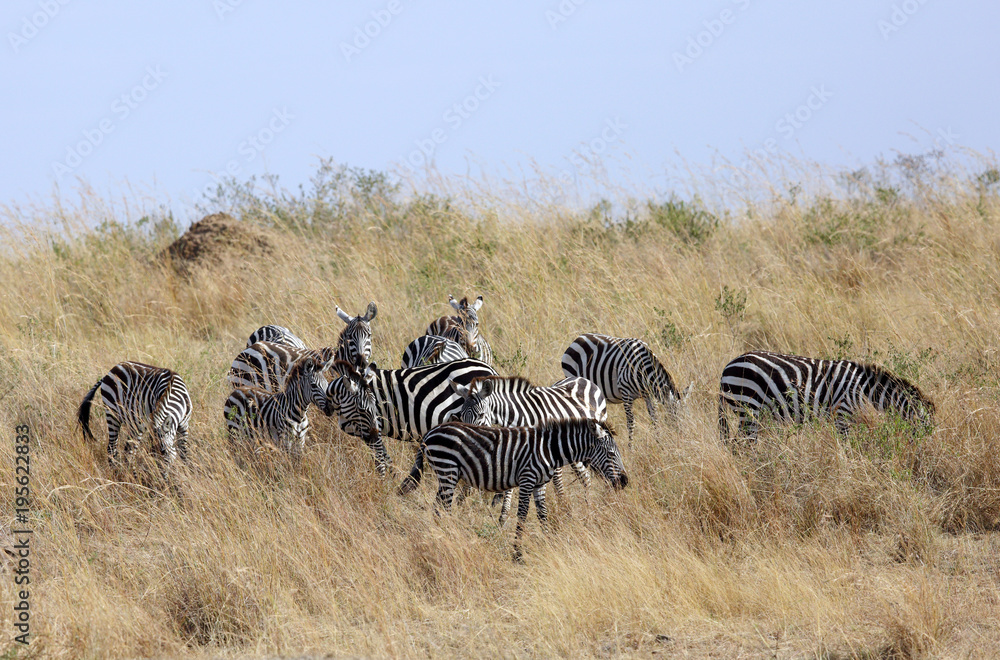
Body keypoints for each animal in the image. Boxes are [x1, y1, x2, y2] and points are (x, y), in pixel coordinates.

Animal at [324, 358, 499, 475]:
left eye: (374, 407)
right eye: (361, 409)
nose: (326, 409)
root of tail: (490, 369)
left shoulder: (373, 429)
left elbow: (380, 459)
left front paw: (382, 483)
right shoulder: (369, 432)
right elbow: (386, 458)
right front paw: (392, 478)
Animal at [399, 418, 628, 561]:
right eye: (610, 454)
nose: (624, 482)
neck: (549, 450)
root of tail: (430, 432)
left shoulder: (539, 484)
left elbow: (543, 514)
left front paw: (548, 544)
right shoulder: (527, 479)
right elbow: (523, 515)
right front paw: (517, 554)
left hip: (446, 475)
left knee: (437, 508)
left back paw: (439, 536)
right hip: (448, 471)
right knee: (444, 509)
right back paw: (450, 540)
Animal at [450, 375, 608, 525]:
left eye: (481, 415)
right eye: (462, 415)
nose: (468, 438)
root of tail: (582, 378)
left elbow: (556, 483)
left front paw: (563, 511)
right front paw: (503, 517)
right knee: (585, 476)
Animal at [561, 333, 692, 442]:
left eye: (688, 416)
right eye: (676, 416)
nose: (684, 438)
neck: (644, 370)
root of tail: (578, 338)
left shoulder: (649, 395)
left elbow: (654, 418)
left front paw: (658, 441)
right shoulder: (626, 394)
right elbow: (631, 423)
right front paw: (631, 448)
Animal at [718, 351, 935, 444]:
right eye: (926, 427)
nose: (925, 454)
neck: (864, 389)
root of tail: (727, 366)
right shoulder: (842, 413)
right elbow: (845, 445)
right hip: (748, 408)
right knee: (743, 444)